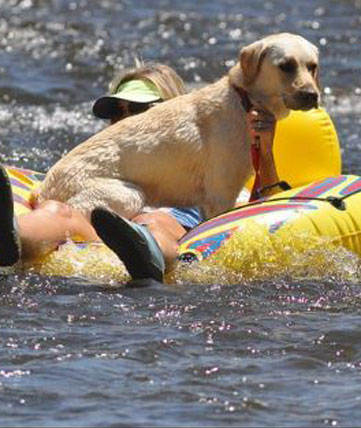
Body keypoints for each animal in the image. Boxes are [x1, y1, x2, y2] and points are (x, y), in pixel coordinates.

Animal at [36, 32, 318, 221]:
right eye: (286, 66)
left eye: (312, 66)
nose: (312, 95)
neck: (244, 101)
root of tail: (42, 193)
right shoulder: (221, 193)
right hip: (128, 193)